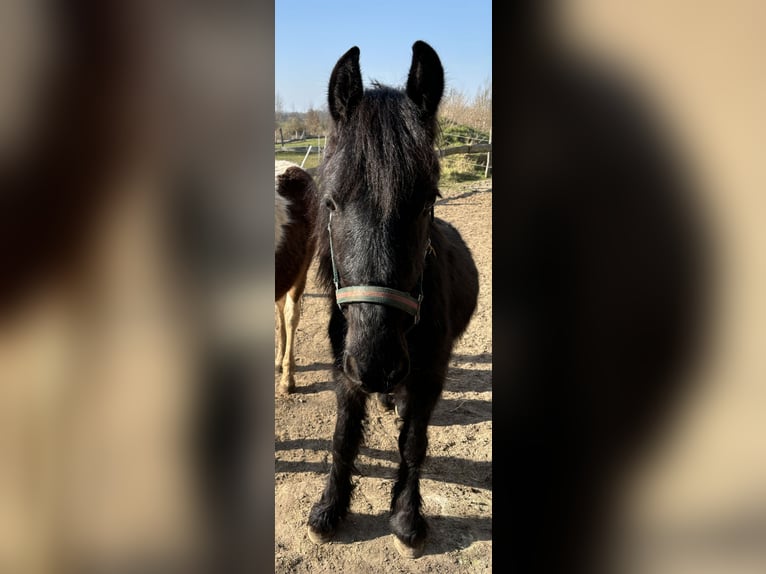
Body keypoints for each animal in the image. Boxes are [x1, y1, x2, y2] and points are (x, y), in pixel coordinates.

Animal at [308, 39, 480, 560]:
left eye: (427, 201)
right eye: (331, 203)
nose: (377, 363)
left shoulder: (430, 375)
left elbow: (413, 443)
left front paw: (406, 518)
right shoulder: (344, 370)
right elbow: (344, 438)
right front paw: (329, 510)